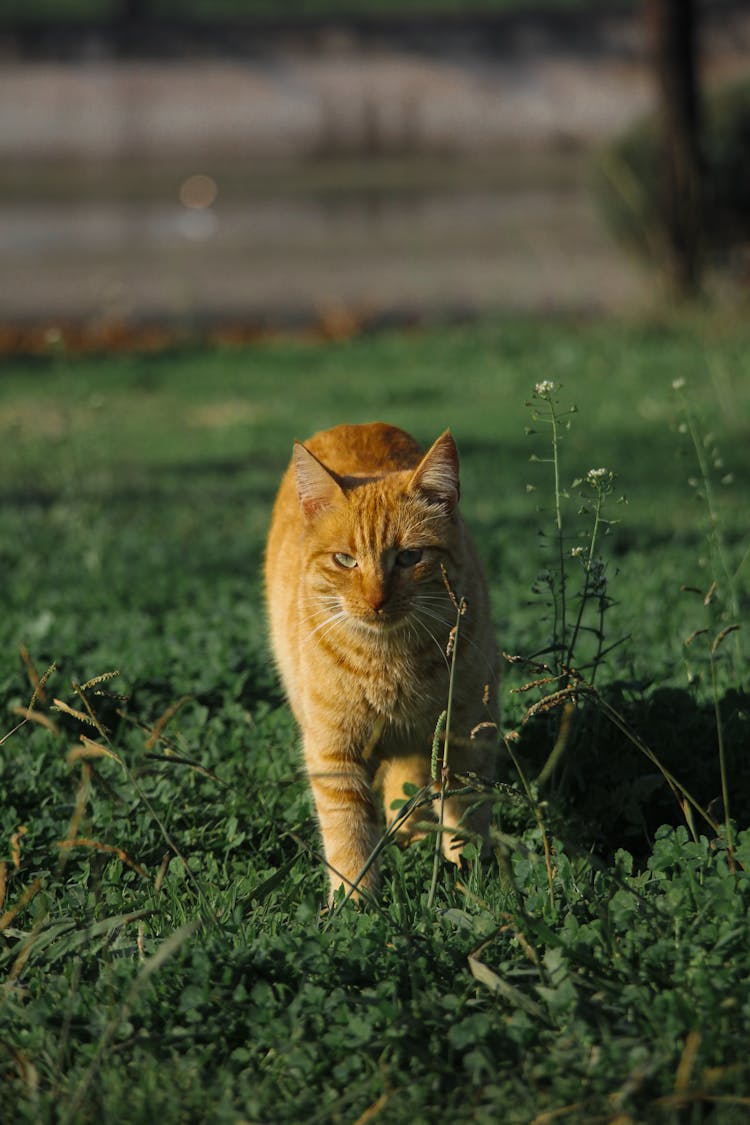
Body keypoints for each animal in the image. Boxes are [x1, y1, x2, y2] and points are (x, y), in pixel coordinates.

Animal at [265, 420, 499, 895]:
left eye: (410, 557)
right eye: (345, 560)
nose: (376, 600)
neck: (389, 660)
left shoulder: (467, 732)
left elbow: (466, 812)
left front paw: (469, 878)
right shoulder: (334, 750)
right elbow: (348, 830)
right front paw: (355, 899)